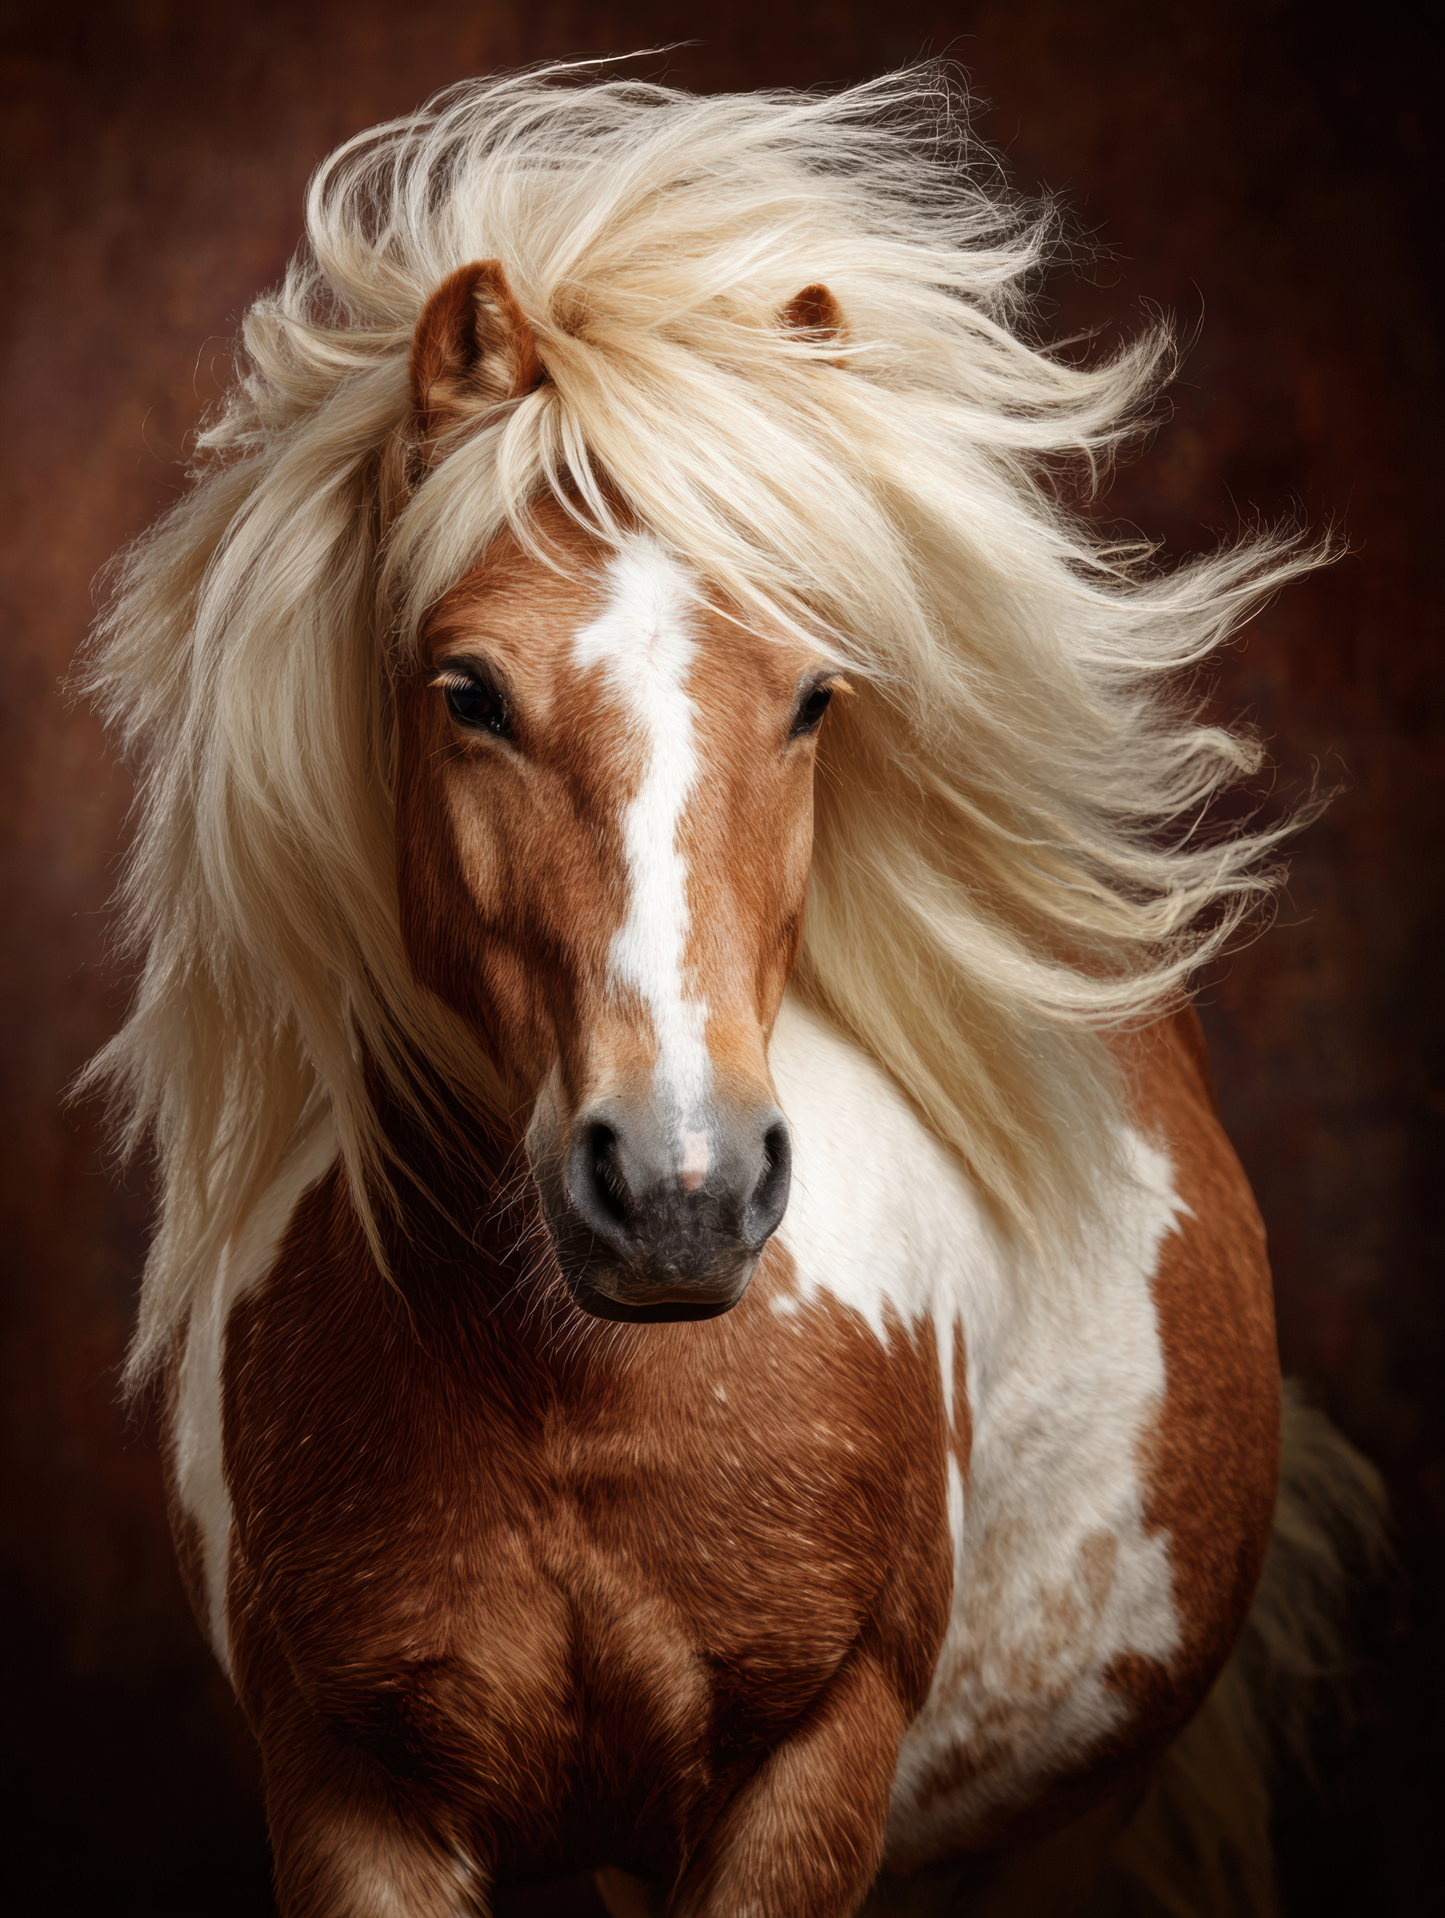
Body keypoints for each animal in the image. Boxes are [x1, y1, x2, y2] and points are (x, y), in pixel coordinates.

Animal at [85, 65, 1383, 1917]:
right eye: (467, 690)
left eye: (815, 695)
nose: (680, 1187)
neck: (570, 1400)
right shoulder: (352, 1786)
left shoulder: (811, 1769)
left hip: (1063, 1823)